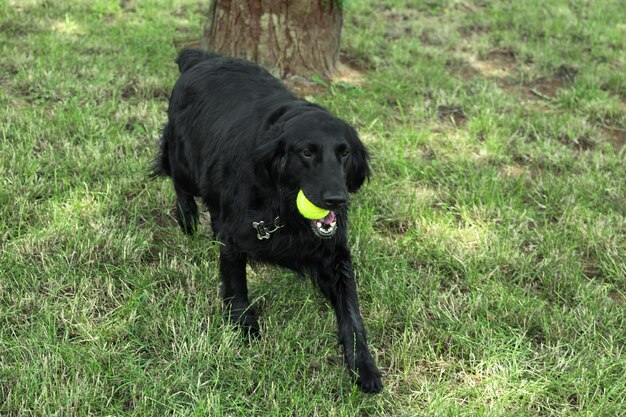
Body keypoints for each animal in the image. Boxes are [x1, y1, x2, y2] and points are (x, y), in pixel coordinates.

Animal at [152, 50, 380, 392]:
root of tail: (201, 58)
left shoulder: (334, 254)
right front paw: (243, 326)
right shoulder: (236, 237)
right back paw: (188, 219)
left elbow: (351, 312)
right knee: (177, 178)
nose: (336, 200)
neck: (283, 205)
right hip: (185, 161)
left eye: (344, 153)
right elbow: (236, 283)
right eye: (307, 153)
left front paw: (363, 365)